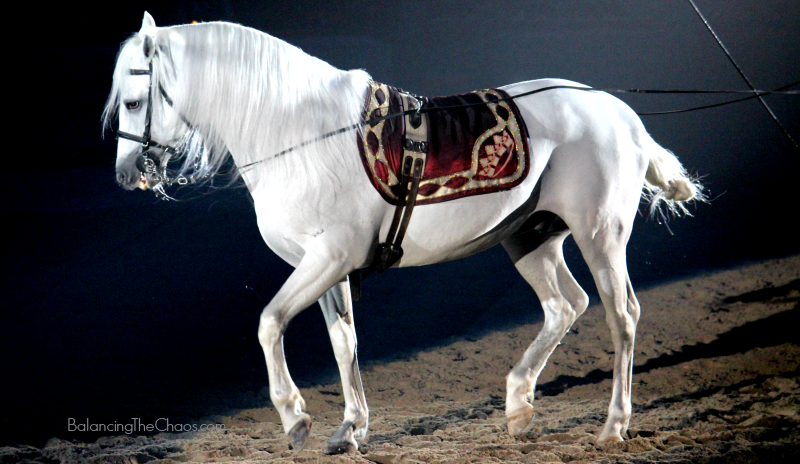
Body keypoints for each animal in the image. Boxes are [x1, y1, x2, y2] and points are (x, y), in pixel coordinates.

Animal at [104, 12, 700, 454]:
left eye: (133, 101)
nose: (127, 174)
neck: (301, 132)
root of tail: (620, 113)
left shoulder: (328, 256)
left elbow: (269, 322)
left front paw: (295, 418)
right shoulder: (330, 266)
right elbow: (344, 341)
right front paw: (350, 428)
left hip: (600, 233)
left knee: (621, 315)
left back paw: (613, 425)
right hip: (532, 236)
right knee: (564, 305)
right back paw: (518, 406)